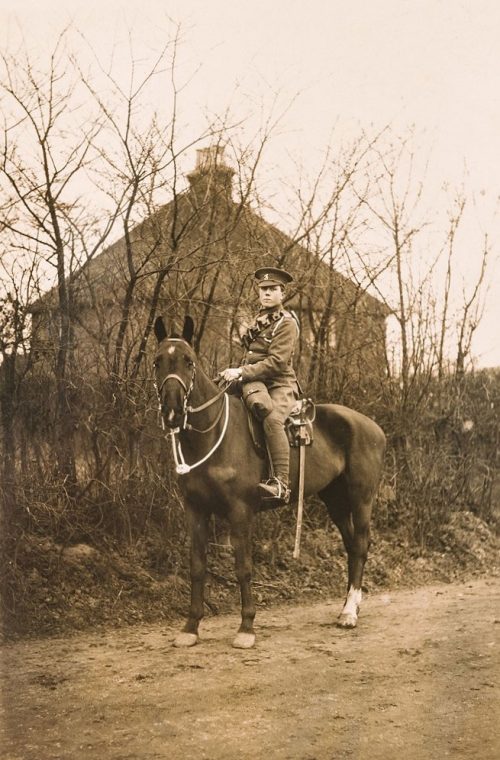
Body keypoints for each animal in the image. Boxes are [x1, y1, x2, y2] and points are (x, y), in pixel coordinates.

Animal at [152, 314, 386, 648]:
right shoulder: (195, 510)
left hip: (361, 499)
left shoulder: (240, 512)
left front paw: (246, 627)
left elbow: (244, 568)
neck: (212, 434)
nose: (172, 410)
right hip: (335, 500)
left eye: (189, 360)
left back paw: (350, 613)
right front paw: (190, 627)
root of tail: (373, 427)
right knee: (352, 546)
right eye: (157, 361)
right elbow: (197, 567)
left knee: (363, 545)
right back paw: (346, 608)